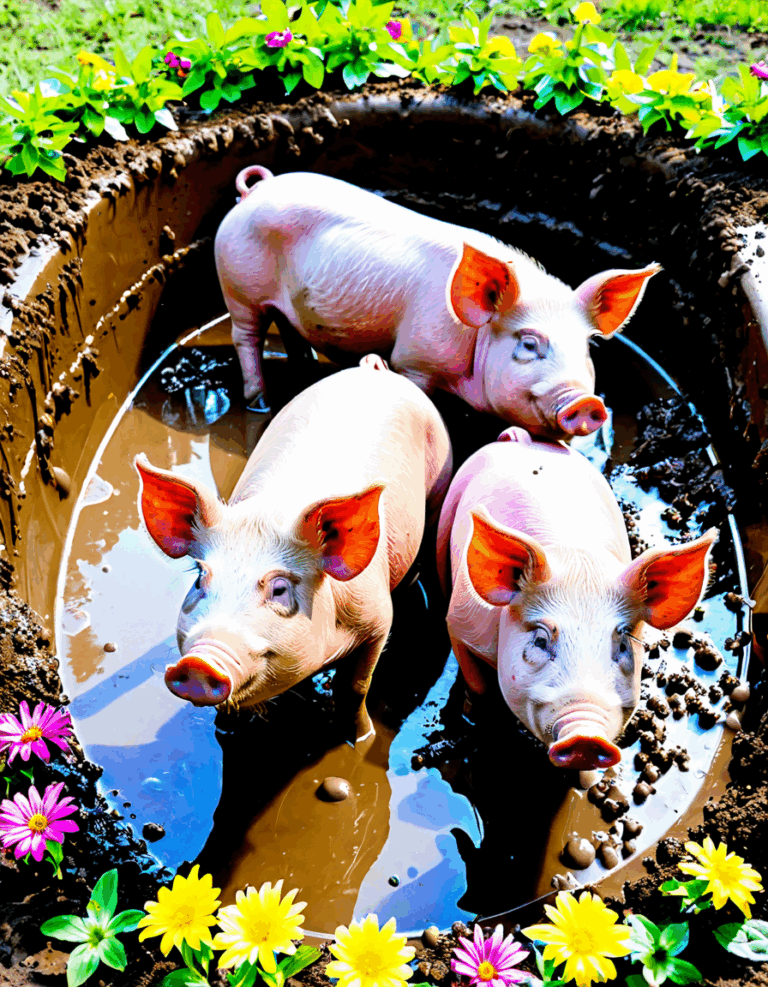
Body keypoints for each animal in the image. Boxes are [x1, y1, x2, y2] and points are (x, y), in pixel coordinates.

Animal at [134, 356, 452, 743]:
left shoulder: (378, 619)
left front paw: (361, 739)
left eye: (280, 589)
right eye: (199, 579)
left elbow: (354, 687)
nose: (198, 663)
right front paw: (227, 730)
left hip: (440, 477)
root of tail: (373, 370)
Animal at [215, 165, 660, 438]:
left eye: (588, 347)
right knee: (246, 338)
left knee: (288, 329)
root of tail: (255, 189)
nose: (586, 402)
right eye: (529, 344)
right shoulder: (415, 358)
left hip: (279, 304)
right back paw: (260, 401)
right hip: (238, 288)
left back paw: (306, 369)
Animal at [436, 426, 717, 770]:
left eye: (624, 644)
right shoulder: (459, 625)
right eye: (540, 640)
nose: (585, 737)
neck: (576, 557)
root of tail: (521, 438)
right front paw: (474, 715)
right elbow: (477, 684)